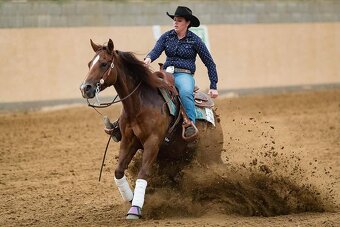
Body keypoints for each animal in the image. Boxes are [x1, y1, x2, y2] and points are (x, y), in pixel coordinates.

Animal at [79, 39, 223, 220]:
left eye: (104, 63)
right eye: (89, 63)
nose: (85, 88)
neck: (140, 104)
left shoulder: (152, 142)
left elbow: (143, 174)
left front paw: (135, 209)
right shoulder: (129, 141)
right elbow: (118, 172)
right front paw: (132, 199)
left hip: (209, 155)